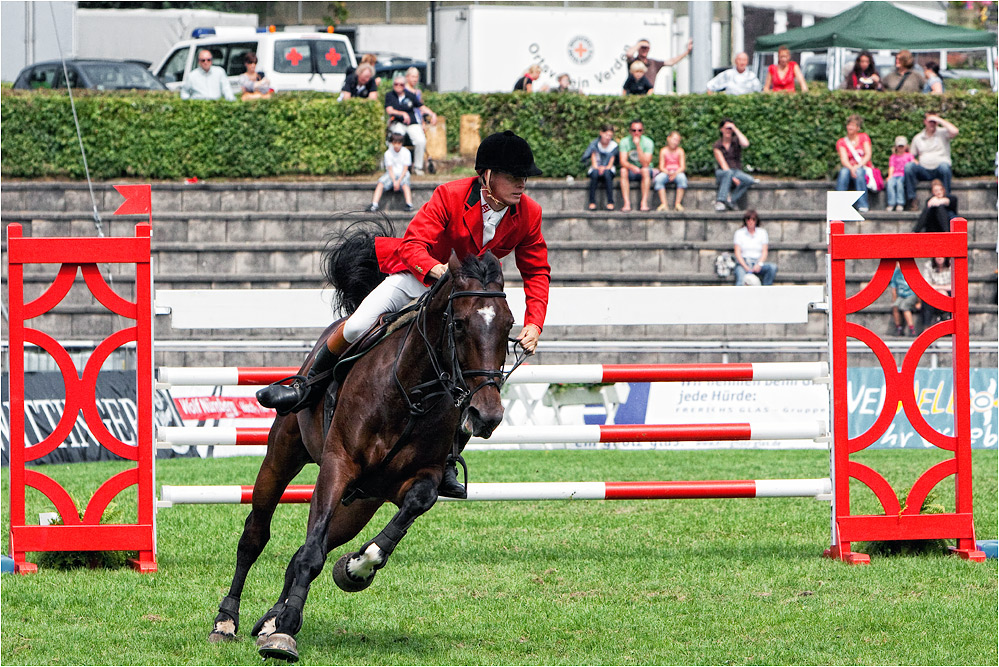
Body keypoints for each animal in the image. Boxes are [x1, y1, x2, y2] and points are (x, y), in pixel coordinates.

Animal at [204, 223, 516, 664]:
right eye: (457, 324)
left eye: (508, 326)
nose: (486, 415)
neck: (411, 393)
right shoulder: (339, 464)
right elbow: (309, 552)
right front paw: (285, 635)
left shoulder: (417, 477)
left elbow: (411, 506)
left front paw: (356, 568)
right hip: (283, 455)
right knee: (255, 536)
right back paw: (226, 621)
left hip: (359, 503)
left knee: (308, 545)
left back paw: (272, 618)